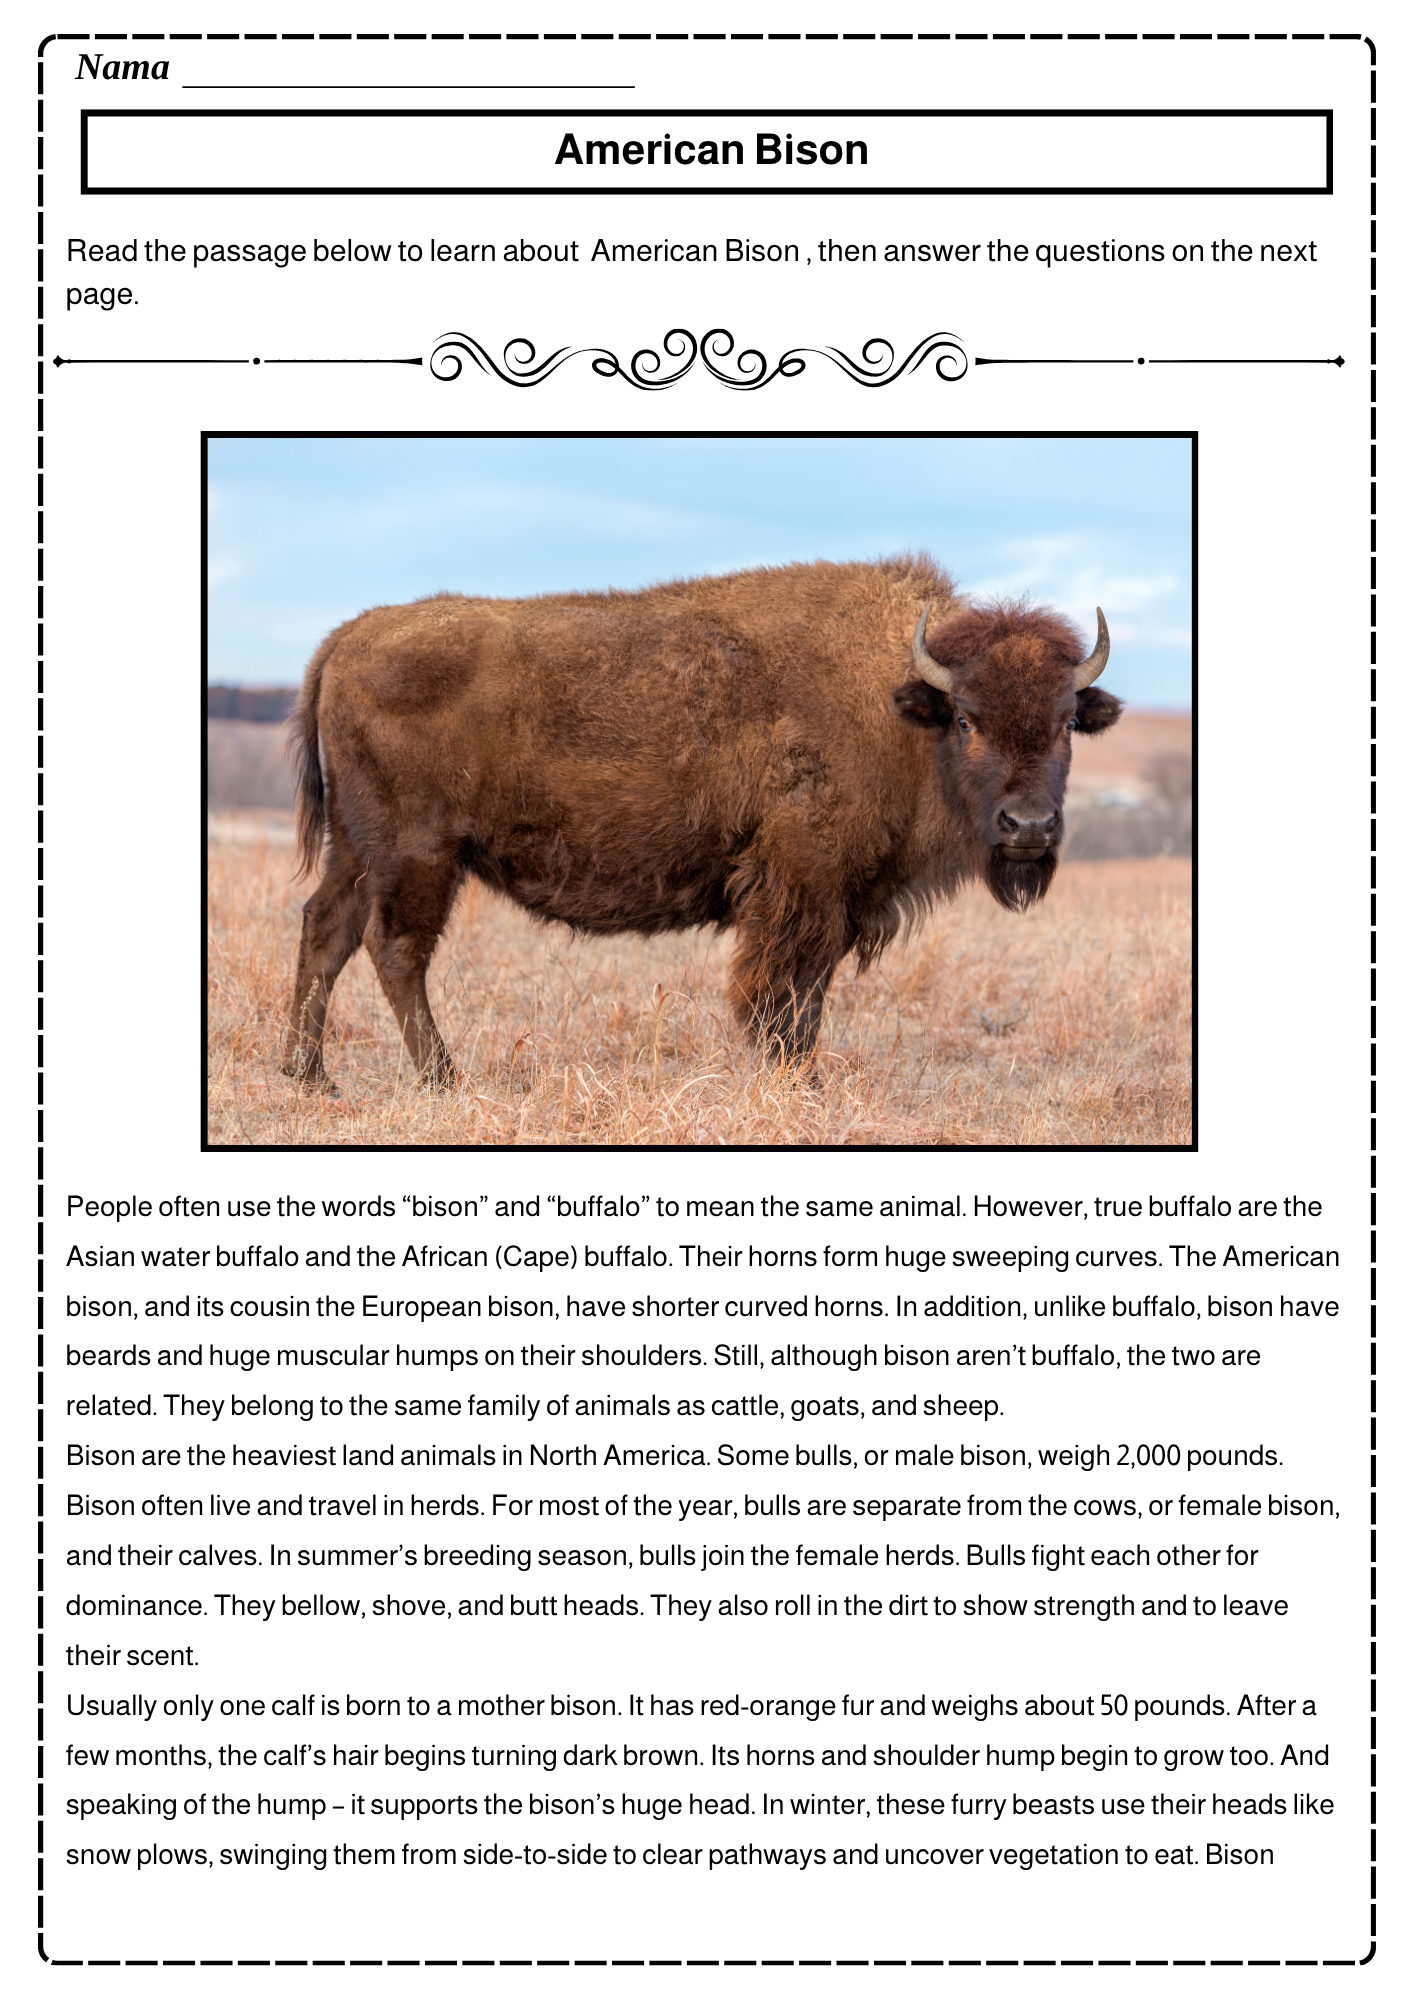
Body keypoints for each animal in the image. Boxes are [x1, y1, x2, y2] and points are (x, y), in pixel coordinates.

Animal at [282, 555, 1120, 1091]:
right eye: (968, 719)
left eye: (1065, 724)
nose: (1028, 826)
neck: (899, 705)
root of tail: (347, 637)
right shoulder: (804, 887)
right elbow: (785, 992)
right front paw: (798, 1082)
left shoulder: (832, 900)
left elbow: (807, 994)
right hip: (418, 853)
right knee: (394, 949)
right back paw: (442, 1078)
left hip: (357, 849)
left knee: (327, 929)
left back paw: (308, 1075)